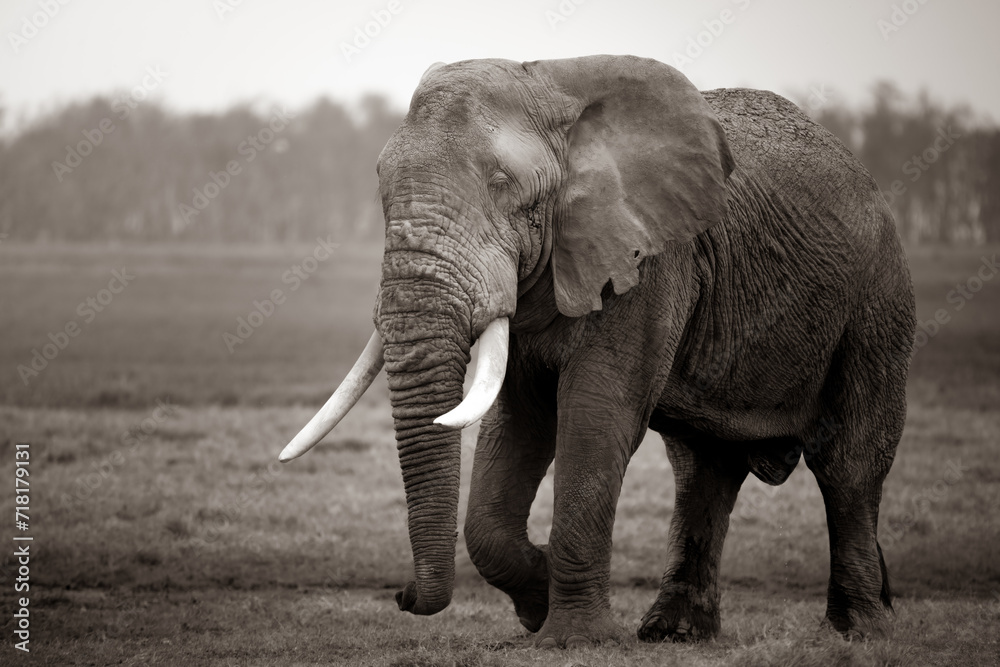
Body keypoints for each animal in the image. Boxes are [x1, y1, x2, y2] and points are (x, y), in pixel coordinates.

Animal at [280, 55, 915, 648]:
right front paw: (537, 603)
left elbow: (595, 416)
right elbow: (519, 425)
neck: (551, 87)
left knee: (848, 462)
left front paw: (574, 638)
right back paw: (674, 635)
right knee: (701, 469)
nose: (402, 594)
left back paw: (861, 630)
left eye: (502, 183)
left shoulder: (648, 260)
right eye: (380, 184)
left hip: (877, 301)